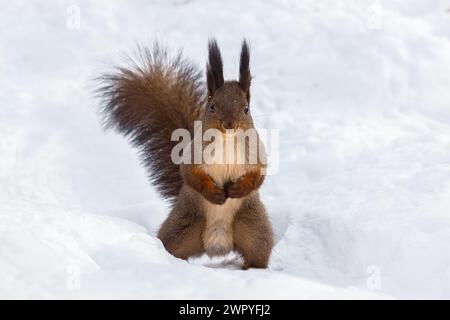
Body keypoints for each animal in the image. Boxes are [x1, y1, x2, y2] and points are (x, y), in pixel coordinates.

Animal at [98, 40, 272, 270]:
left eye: (246, 108)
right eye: (212, 106)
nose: (229, 124)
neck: (226, 140)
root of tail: (217, 247)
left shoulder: (255, 153)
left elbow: (258, 177)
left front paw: (238, 189)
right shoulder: (193, 155)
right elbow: (191, 176)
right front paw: (214, 193)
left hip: (254, 229)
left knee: (257, 253)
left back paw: (250, 269)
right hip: (182, 228)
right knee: (173, 247)